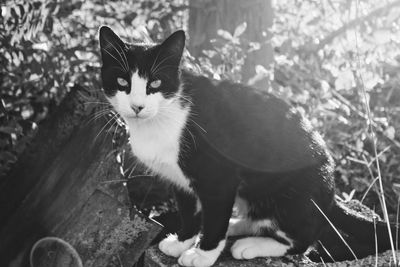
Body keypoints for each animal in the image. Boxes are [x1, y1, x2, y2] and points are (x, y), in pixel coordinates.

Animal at [98, 25, 398, 267]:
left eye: (156, 82)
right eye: (122, 81)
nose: (137, 106)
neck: (164, 118)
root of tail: (332, 193)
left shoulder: (219, 177)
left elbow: (215, 216)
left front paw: (202, 255)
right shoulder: (177, 178)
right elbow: (188, 212)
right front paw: (182, 242)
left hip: (295, 194)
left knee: (304, 238)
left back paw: (250, 245)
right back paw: (238, 226)